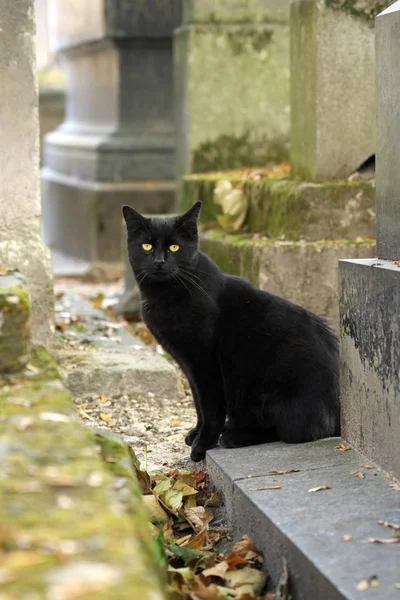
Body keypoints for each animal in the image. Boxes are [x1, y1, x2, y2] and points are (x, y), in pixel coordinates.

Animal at [122, 204, 340, 462]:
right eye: (146, 246)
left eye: (174, 247)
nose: (159, 261)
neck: (164, 295)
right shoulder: (188, 366)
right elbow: (198, 405)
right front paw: (196, 434)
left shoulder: (205, 363)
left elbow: (210, 408)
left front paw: (202, 445)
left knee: (296, 430)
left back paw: (234, 436)